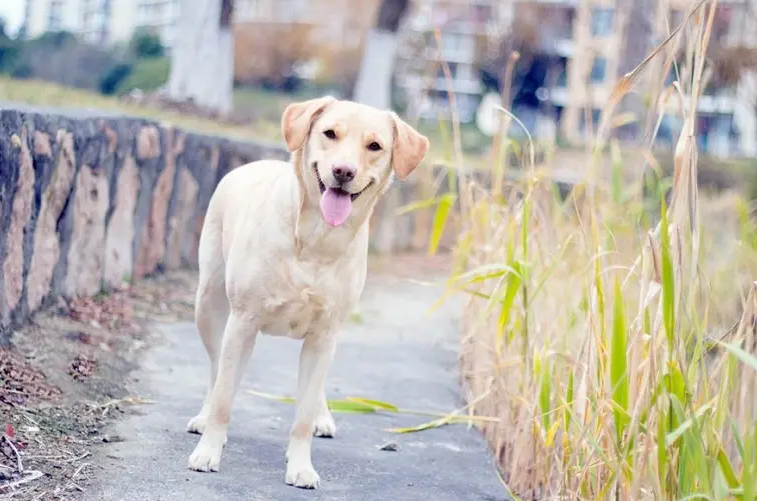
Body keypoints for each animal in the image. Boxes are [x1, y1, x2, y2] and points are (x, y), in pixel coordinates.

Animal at [186, 96, 428, 488]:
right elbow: (223, 397)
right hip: (208, 305)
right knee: (215, 370)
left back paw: (321, 415)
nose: (343, 171)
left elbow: (302, 412)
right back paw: (204, 416)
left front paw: (300, 465)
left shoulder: (324, 335)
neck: (317, 239)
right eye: (330, 133)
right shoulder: (242, 321)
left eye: (374, 146)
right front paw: (209, 449)